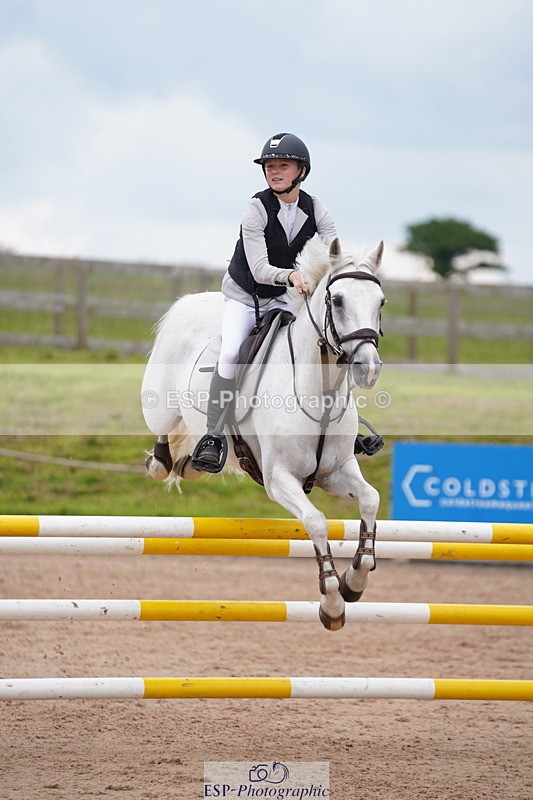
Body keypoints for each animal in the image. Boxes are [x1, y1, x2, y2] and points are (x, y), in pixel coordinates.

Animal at [141, 235, 385, 631]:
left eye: (381, 302)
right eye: (337, 300)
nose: (369, 369)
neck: (319, 391)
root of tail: (190, 301)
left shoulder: (335, 472)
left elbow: (370, 500)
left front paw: (355, 581)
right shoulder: (279, 478)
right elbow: (317, 522)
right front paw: (332, 603)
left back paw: (194, 461)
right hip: (159, 407)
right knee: (163, 432)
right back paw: (164, 462)